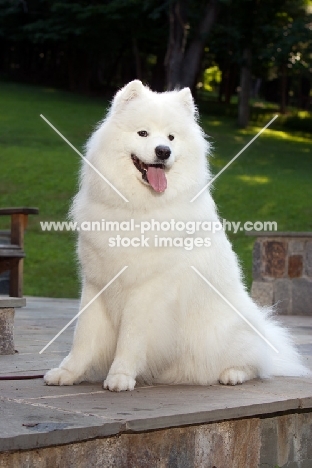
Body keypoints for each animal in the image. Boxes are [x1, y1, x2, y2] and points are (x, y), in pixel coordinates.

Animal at [45, 80, 308, 392]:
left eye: (171, 137)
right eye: (143, 133)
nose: (163, 151)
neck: (138, 206)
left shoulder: (145, 291)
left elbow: (130, 339)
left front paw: (120, 376)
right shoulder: (97, 283)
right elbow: (83, 337)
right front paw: (68, 374)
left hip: (222, 332)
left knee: (255, 363)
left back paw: (232, 374)